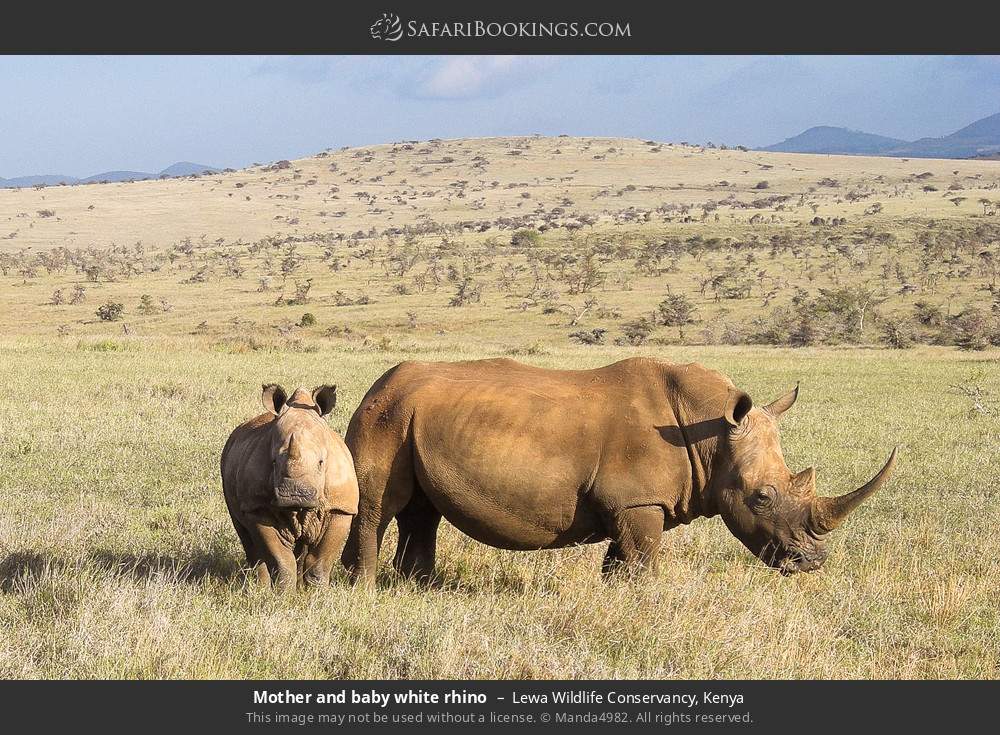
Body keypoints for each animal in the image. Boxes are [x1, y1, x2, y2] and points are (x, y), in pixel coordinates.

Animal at [223, 386, 360, 592]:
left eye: (321, 463)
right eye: (273, 462)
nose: (296, 496)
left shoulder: (341, 507)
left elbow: (320, 560)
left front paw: (318, 594)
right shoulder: (258, 506)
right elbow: (281, 559)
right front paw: (284, 594)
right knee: (248, 539)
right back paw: (260, 589)